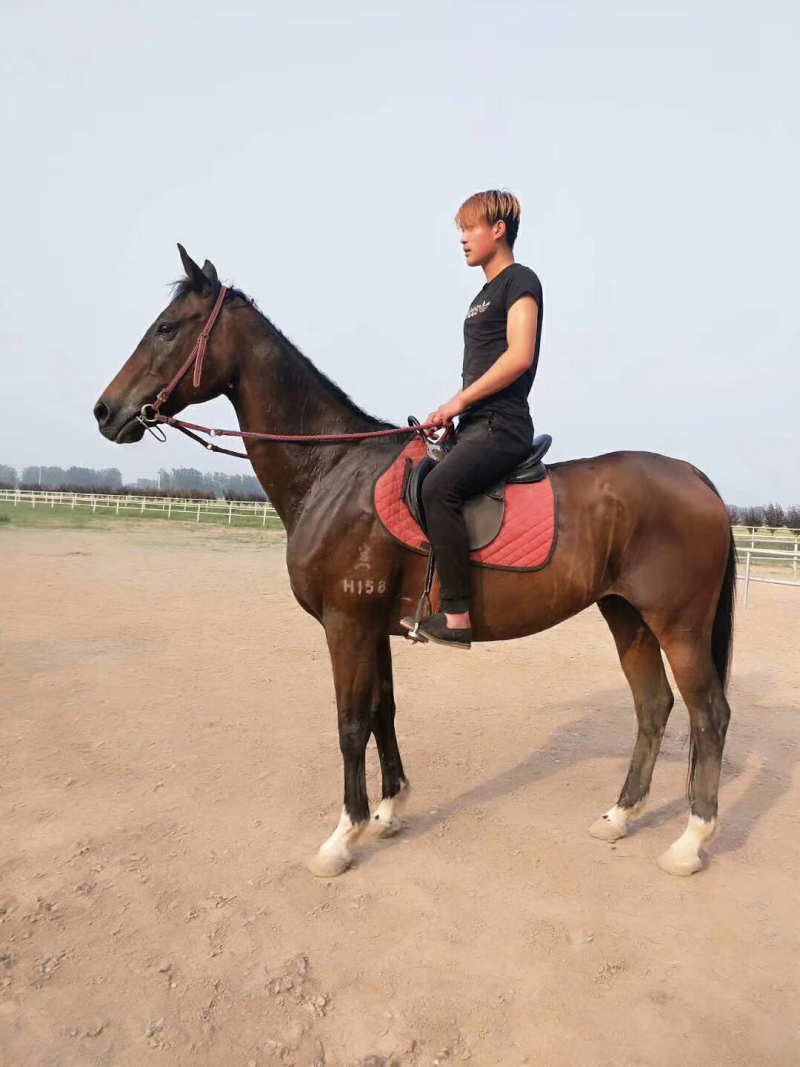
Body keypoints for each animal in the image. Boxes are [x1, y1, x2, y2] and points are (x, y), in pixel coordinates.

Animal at [94, 246, 735, 879]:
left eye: (167, 328)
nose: (105, 411)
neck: (333, 470)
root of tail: (694, 476)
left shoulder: (346, 624)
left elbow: (351, 725)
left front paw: (342, 837)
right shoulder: (371, 626)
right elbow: (385, 712)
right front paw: (388, 810)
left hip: (677, 624)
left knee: (709, 715)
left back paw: (690, 842)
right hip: (626, 615)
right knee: (653, 707)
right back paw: (620, 817)